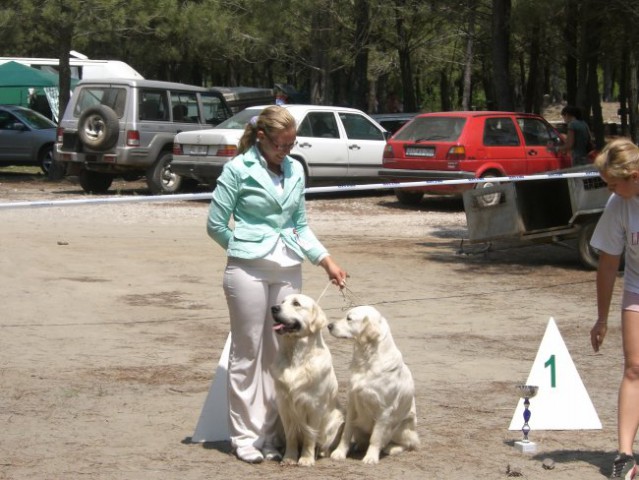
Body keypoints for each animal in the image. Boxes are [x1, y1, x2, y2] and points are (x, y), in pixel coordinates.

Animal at [270, 292, 344, 464]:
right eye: (282, 301)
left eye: (296, 303)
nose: (274, 308)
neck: (296, 356)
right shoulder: (284, 405)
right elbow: (291, 435)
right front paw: (290, 457)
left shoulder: (314, 406)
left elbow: (310, 437)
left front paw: (306, 459)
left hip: (336, 420)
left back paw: (320, 453)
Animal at [330, 306, 420, 464]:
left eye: (349, 318)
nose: (329, 325)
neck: (367, 360)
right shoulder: (352, 403)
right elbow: (346, 432)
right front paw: (340, 452)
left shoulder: (384, 410)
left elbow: (376, 438)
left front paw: (371, 457)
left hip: (400, 427)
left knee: (408, 443)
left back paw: (392, 448)